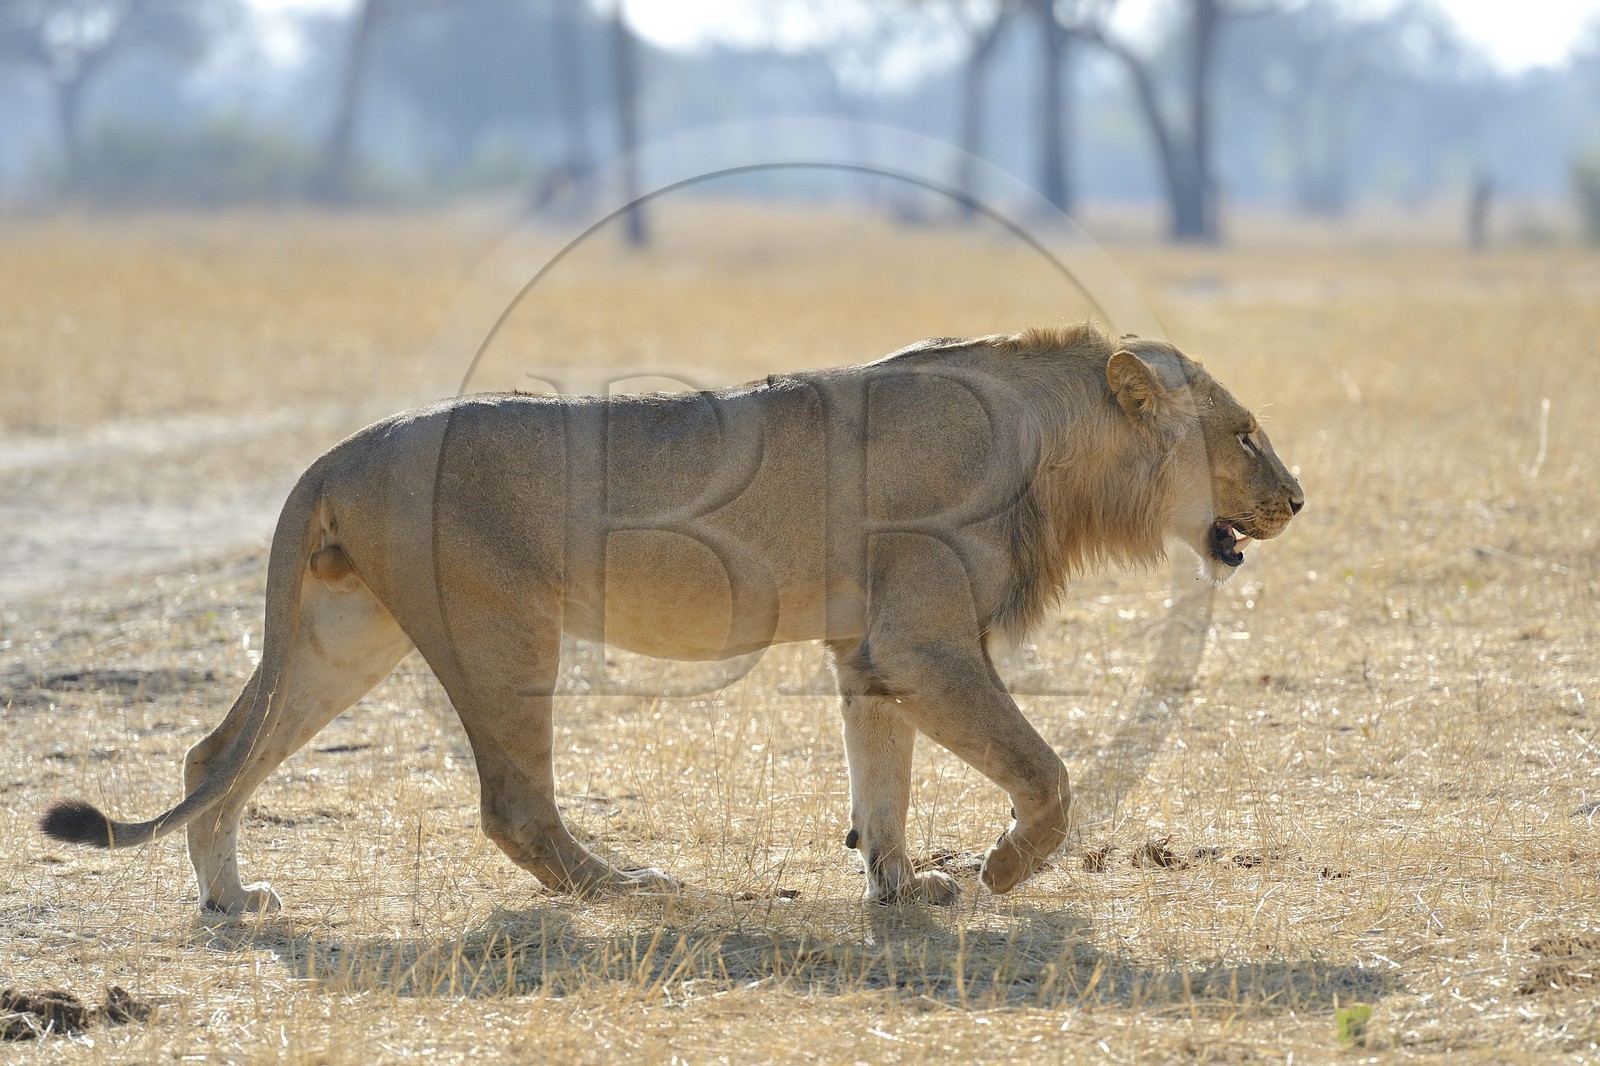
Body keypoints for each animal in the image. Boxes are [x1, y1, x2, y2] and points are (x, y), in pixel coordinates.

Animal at [41, 322, 1302, 913]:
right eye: (1242, 432)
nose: (1296, 498)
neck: (1055, 446)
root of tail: (337, 451)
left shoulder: (869, 653)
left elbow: (881, 784)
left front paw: (903, 888)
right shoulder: (926, 641)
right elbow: (1046, 772)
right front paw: (998, 868)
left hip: (343, 635)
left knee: (213, 753)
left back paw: (229, 898)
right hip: (501, 630)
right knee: (512, 807)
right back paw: (629, 887)